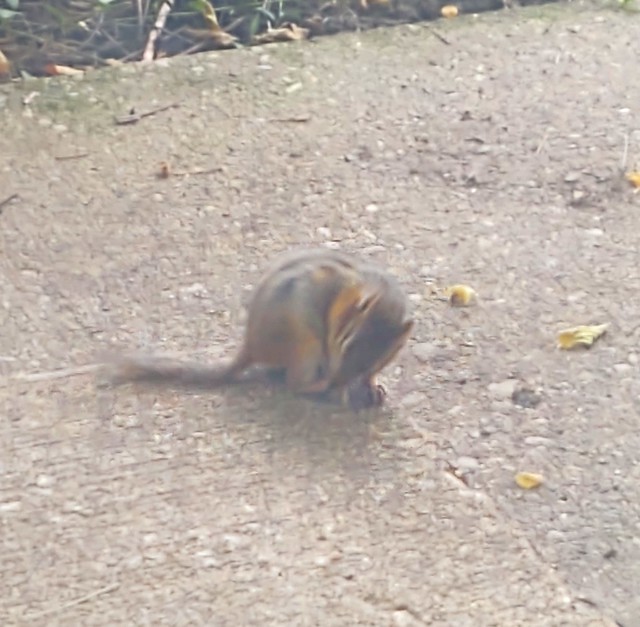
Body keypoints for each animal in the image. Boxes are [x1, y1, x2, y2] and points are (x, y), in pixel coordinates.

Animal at [100, 248, 413, 409]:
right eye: (344, 342)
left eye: (371, 360)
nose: (339, 380)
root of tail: (251, 347)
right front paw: (345, 390)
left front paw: (371, 386)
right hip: (307, 344)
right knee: (294, 384)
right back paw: (321, 386)